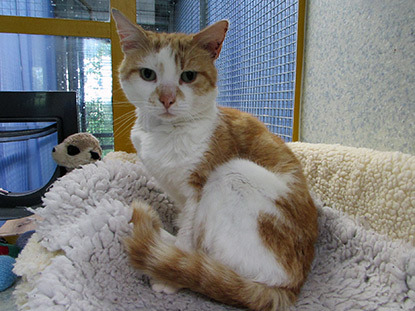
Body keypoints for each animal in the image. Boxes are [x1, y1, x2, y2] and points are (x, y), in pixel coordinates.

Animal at [111, 9, 318, 311]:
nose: (167, 98)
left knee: (211, 265)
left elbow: (188, 238)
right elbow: (185, 226)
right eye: (148, 74)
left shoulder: (197, 190)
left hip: (233, 172)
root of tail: (293, 286)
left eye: (188, 76)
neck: (165, 135)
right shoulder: (179, 194)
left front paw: (170, 276)